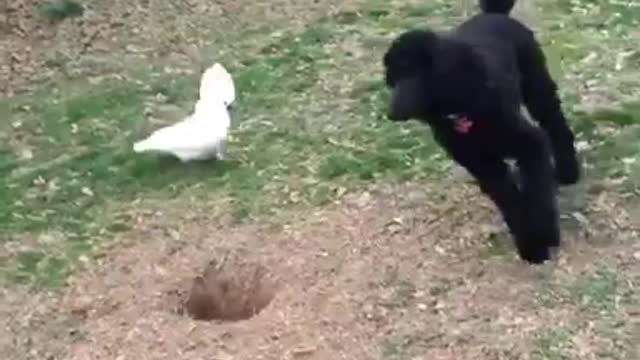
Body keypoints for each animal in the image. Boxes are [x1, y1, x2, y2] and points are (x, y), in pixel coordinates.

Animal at [382, 0, 584, 262]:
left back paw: (569, 172)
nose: (391, 112)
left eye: (414, 73)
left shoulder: (530, 145)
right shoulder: (482, 165)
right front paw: (530, 244)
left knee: (555, 124)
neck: (463, 107)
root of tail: (494, 14)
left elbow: (537, 193)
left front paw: (545, 235)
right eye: (392, 79)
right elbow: (509, 200)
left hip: (537, 87)